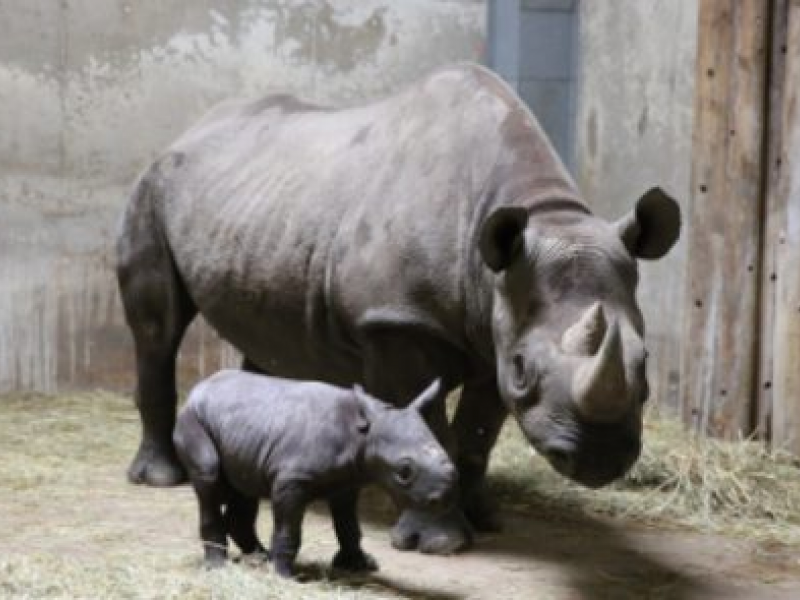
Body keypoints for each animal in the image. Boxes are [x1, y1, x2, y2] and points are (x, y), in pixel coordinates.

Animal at [117, 62, 680, 552]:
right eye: (524, 368)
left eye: (645, 362)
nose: (601, 458)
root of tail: (189, 131)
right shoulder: (397, 325)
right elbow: (436, 431)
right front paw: (440, 542)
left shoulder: (494, 329)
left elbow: (477, 434)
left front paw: (486, 519)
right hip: (152, 187)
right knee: (158, 331)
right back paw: (160, 478)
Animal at [173, 368, 456, 580]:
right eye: (404, 472)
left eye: (453, 466)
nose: (443, 499)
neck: (362, 433)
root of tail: (198, 388)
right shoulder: (292, 480)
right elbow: (289, 529)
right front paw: (283, 575)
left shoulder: (347, 483)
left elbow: (349, 527)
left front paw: (360, 565)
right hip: (192, 418)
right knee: (209, 476)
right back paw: (219, 566)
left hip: (241, 428)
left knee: (244, 487)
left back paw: (258, 557)